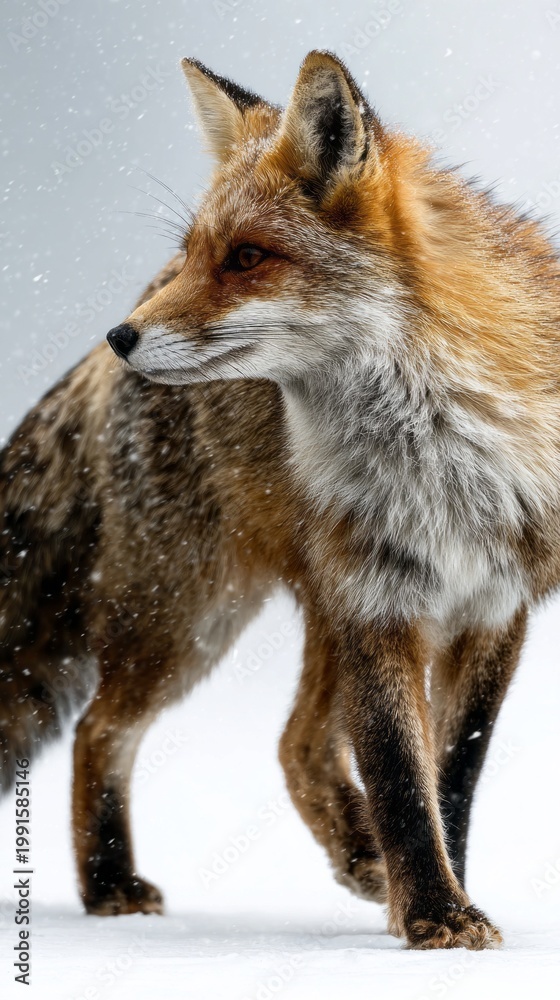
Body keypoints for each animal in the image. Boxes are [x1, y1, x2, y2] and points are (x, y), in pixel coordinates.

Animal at [1, 50, 559, 951]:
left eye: (247, 257)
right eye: (198, 252)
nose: (124, 336)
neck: (444, 453)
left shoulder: (495, 609)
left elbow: (450, 781)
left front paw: (441, 899)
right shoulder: (376, 602)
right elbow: (401, 778)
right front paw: (434, 915)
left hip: (280, 606)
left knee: (295, 743)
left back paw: (359, 857)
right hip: (192, 612)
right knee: (101, 730)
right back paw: (110, 884)